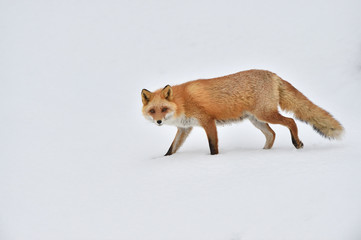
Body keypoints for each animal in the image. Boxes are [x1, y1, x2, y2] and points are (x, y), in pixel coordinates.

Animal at [141, 69, 344, 156]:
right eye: (153, 110)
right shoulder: (185, 129)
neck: (182, 102)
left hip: (265, 114)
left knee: (290, 122)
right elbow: (171, 149)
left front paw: (213, 159)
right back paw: (263, 154)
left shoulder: (208, 122)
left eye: (164, 109)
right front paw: (165, 161)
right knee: (272, 134)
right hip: (256, 120)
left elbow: (213, 147)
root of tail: (273, 74)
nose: (159, 121)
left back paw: (297, 143)